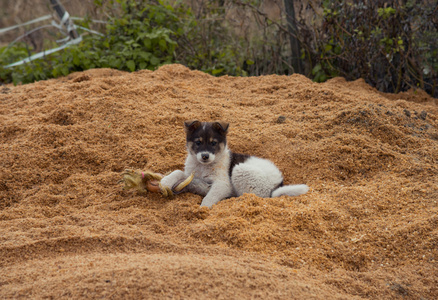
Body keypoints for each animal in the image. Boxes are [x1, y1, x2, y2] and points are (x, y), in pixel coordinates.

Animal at [160, 120, 308, 207]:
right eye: (198, 142)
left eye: (213, 143)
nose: (205, 156)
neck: (203, 166)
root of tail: (278, 185)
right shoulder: (191, 174)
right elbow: (178, 172)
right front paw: (165, 182)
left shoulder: (223, 183)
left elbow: (210, 197)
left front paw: (203, 209)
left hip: (240, 170)